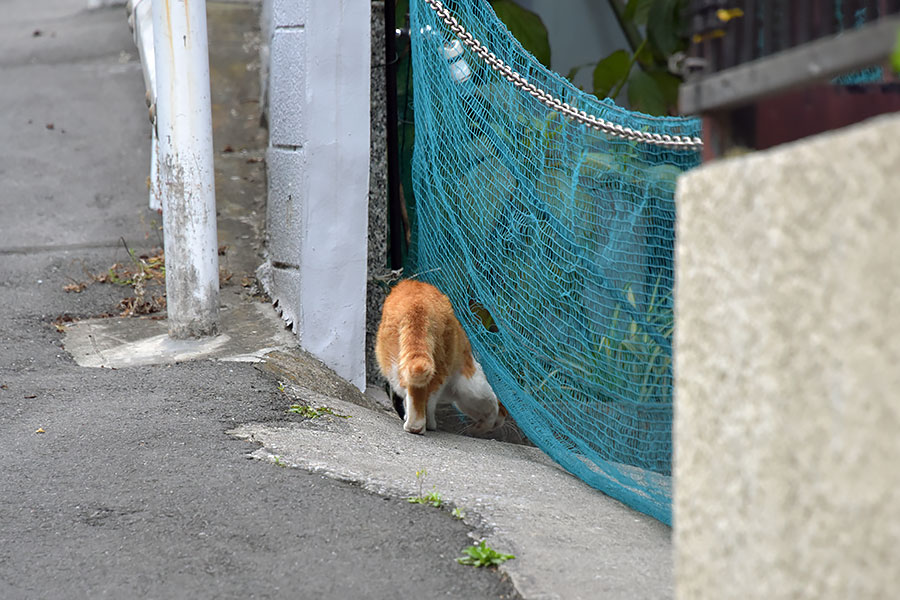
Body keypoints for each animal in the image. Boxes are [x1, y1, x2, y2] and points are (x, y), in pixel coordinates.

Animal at [372, 282, 506, 436]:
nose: (504, 417)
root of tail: (417, 304)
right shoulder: (472, 382)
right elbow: (491, 405)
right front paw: (482, 427)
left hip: (395, 362)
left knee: (413, 389)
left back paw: (413, 425)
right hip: (441, 363)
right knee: (427, 397)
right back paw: (423, 425)